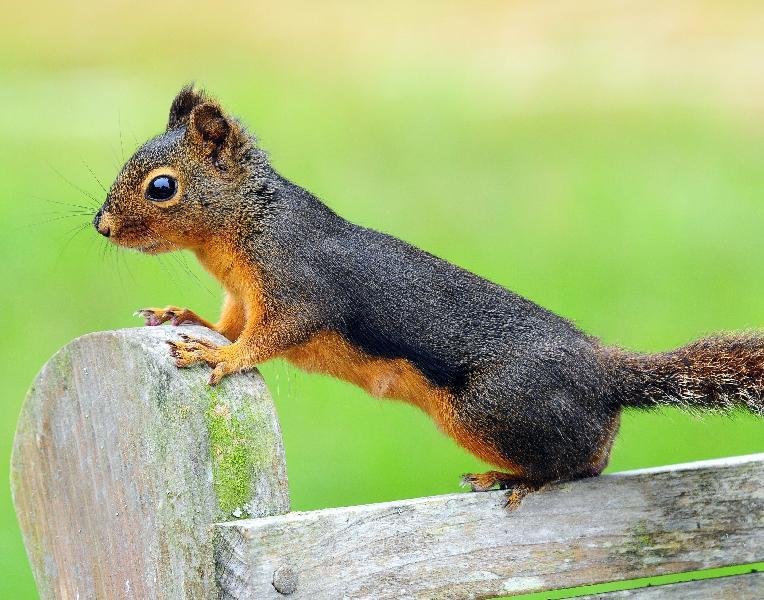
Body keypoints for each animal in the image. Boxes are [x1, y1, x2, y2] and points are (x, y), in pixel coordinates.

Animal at [94, 85, 764, 507]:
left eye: (161, 187)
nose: (101, 225)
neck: (245, 227)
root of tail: (603, 374)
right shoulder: (243, 297)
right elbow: (230, 322)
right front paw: (183, 315)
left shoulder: (299, 285)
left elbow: (269, 338)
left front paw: (218, 356)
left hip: (493, 408)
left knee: (579, 466)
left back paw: (514, 479)